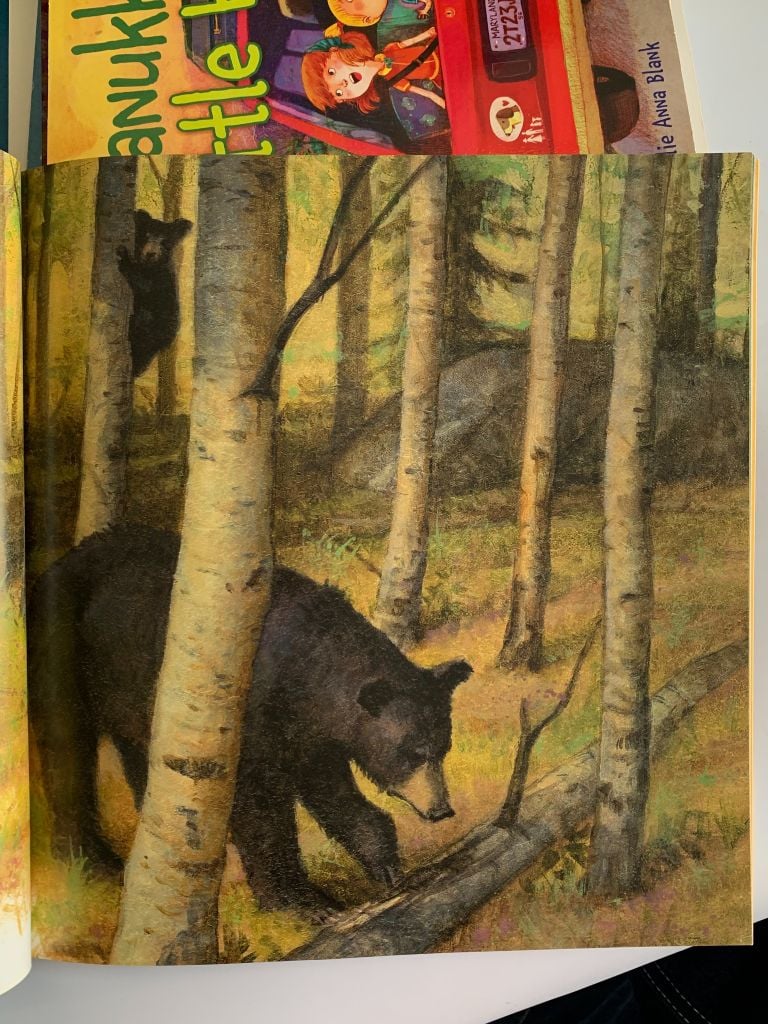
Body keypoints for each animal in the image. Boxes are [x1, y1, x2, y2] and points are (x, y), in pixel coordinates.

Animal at [28, 524, 472, 915]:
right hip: (68, 653)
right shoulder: (254, 714)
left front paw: (387, 866)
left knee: (142, 757)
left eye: (443, 748)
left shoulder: (311, 732)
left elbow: (335, 795)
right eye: (413, 752)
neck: (308, 669)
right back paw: (93, 859)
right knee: (68, 751)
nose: (441, 810)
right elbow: (260, 810)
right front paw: (301, 902)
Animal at [117, 210, 192, 377]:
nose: (151, 253)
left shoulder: (161, 283)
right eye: (146, 234)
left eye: (165, 241)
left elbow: (143, 285)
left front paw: (123, 255)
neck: (150, 267)